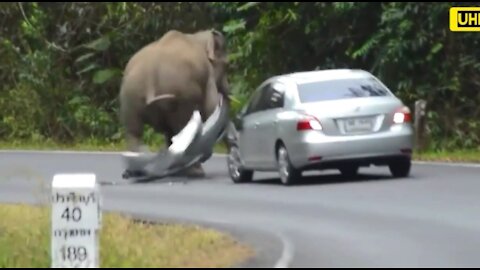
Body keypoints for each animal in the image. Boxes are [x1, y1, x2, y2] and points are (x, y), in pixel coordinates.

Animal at [120, 28, 232, 178]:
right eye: (227, 65)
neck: (197, 37)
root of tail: (151, 71)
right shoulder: (207, 75)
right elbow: (211, 107)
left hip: (131, 94)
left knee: (134, 131)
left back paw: (135, 172)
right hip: (182, 93)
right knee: (184, 127)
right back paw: (195, 172)